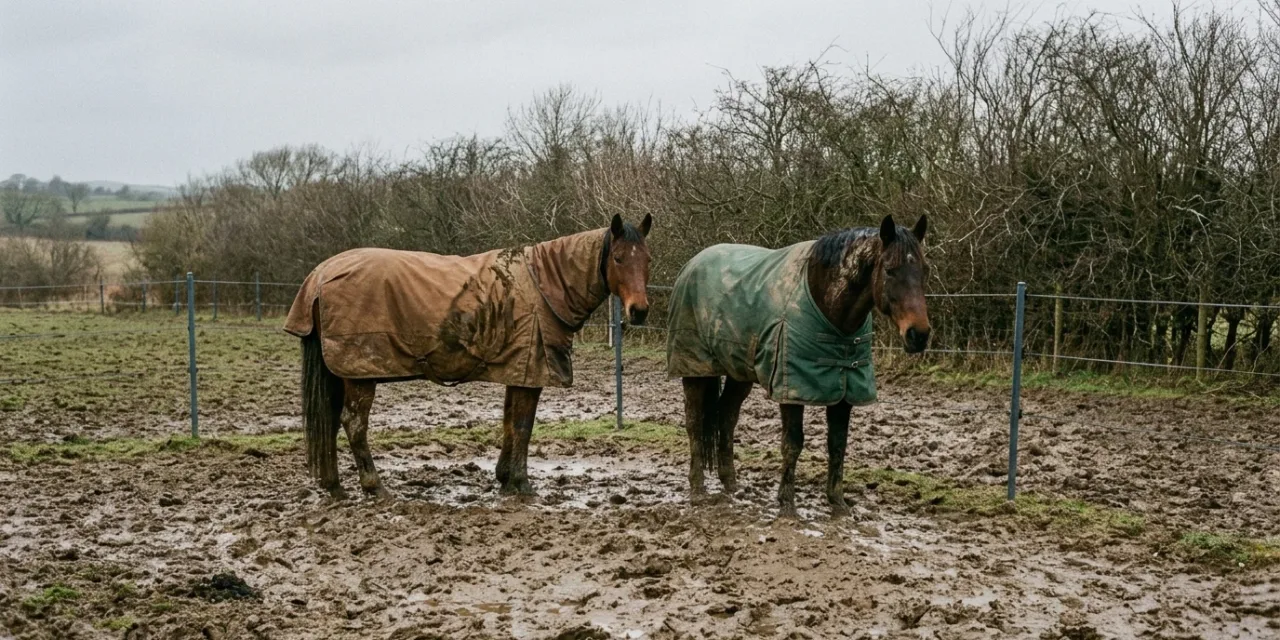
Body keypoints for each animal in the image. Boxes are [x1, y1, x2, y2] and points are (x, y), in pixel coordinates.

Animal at [284, 214, 653, 499]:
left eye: (647, 260)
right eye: (618, 258)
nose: (639, 311)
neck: (542, 285)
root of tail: (320, 276)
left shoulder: (517, 370)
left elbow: (509, 423)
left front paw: (505, 479)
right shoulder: (530, 373)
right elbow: (523, 426)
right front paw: (522, 484)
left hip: (342, 374)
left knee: (331, 421)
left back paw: (334, 487)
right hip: (360, 374)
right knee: (354, 424)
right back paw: (375, 487)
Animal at [666, 214, 929, 518]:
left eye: (925, 270)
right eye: (889, 270)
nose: (919, 335)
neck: (825, 304)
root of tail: (693, 263)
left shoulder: (844, 391)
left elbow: (837, 445)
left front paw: (838, 504)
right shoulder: (791, 390)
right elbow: (792, 444)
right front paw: (787, 505)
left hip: (738, 373)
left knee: (727, 416)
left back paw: (730, 484)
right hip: (695, 368)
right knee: (695, 422)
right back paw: (698, 490)